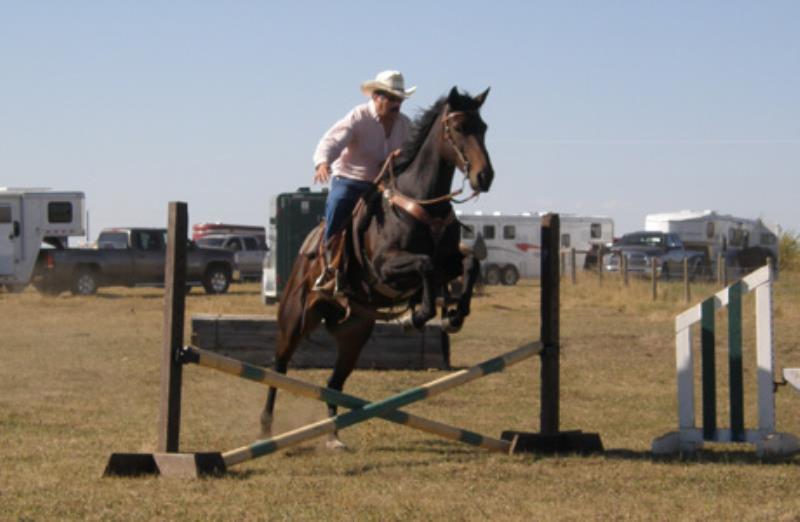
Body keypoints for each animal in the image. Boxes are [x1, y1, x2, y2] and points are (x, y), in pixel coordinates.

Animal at [262, 87, 494, 444]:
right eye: (457, 128)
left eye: (482, 128)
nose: (485, 176)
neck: (421, 202)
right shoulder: (386, 267)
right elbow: (425, 265)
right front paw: (420, 315)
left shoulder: (449, 262)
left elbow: (469, 264)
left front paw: (454, 316)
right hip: (294, 319)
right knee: (278, 368)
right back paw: (266, 426)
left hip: (354, 334)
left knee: (333, 384)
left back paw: (333, 436)